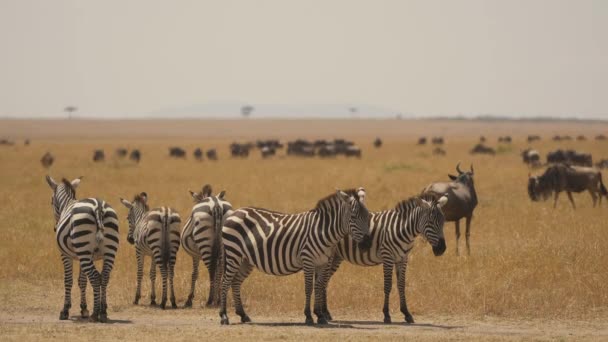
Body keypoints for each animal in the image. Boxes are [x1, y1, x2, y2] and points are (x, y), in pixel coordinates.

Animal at [44, 175, 120, 322]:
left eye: (51, 201)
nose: (55, 228)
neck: (67, 204)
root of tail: (98, 206)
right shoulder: (83, 256)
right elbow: (82, 281)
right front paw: (84, 309)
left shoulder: (66, 255)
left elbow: (68, 280)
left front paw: (65, 310)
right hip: (108, 251)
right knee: (104, 276)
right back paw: (103, 312)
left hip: (84, 249)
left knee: (95, 277)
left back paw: (95, 313)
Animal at [218, 188, 370, 324]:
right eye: (353, 217)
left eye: (367, 216)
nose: (367, 244)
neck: (322, 231)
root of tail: (235, 212)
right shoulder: (308, 259)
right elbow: (309, 288)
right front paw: (308, 316)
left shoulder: (322, 262)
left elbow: (319, 286)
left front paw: (320, 316)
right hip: (234, 253)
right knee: (225, 282)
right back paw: (224, 316)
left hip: (245, 260)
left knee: (235, 282)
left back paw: (243, 315)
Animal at [318, 192, 446, 324]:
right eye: (431, 222)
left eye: (443, 222)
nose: (442, 249)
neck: (402, 228)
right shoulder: (387, 256)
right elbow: (388, 285)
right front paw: (386, 314)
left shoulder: (402, 258)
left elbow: (401, 285)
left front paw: (406, 313)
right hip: (329, 256)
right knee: (323, 281)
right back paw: (323, 313)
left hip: (336, 257)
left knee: (325, 280)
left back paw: (326, 313)